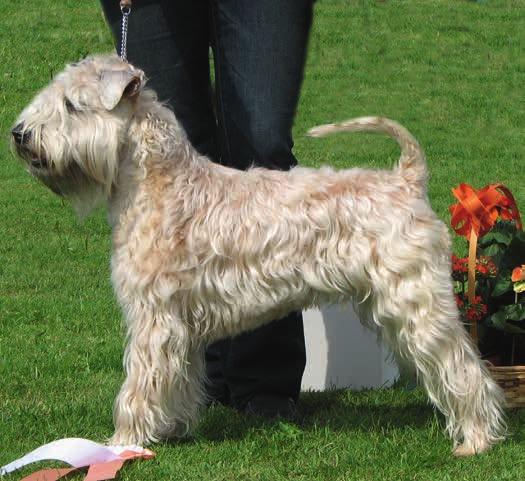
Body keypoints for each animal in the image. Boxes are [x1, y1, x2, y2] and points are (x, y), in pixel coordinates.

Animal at [12, 55, 504, 454]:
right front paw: (173, 429)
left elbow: (140, 383)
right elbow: (180, 380)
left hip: (415, 302)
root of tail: (407, 179)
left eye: (72, 105)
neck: (159, 183)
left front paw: (122, 443)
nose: (19, 134)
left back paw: (477, 440)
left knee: (463, 366)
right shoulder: (180, 324)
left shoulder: (153, 316)